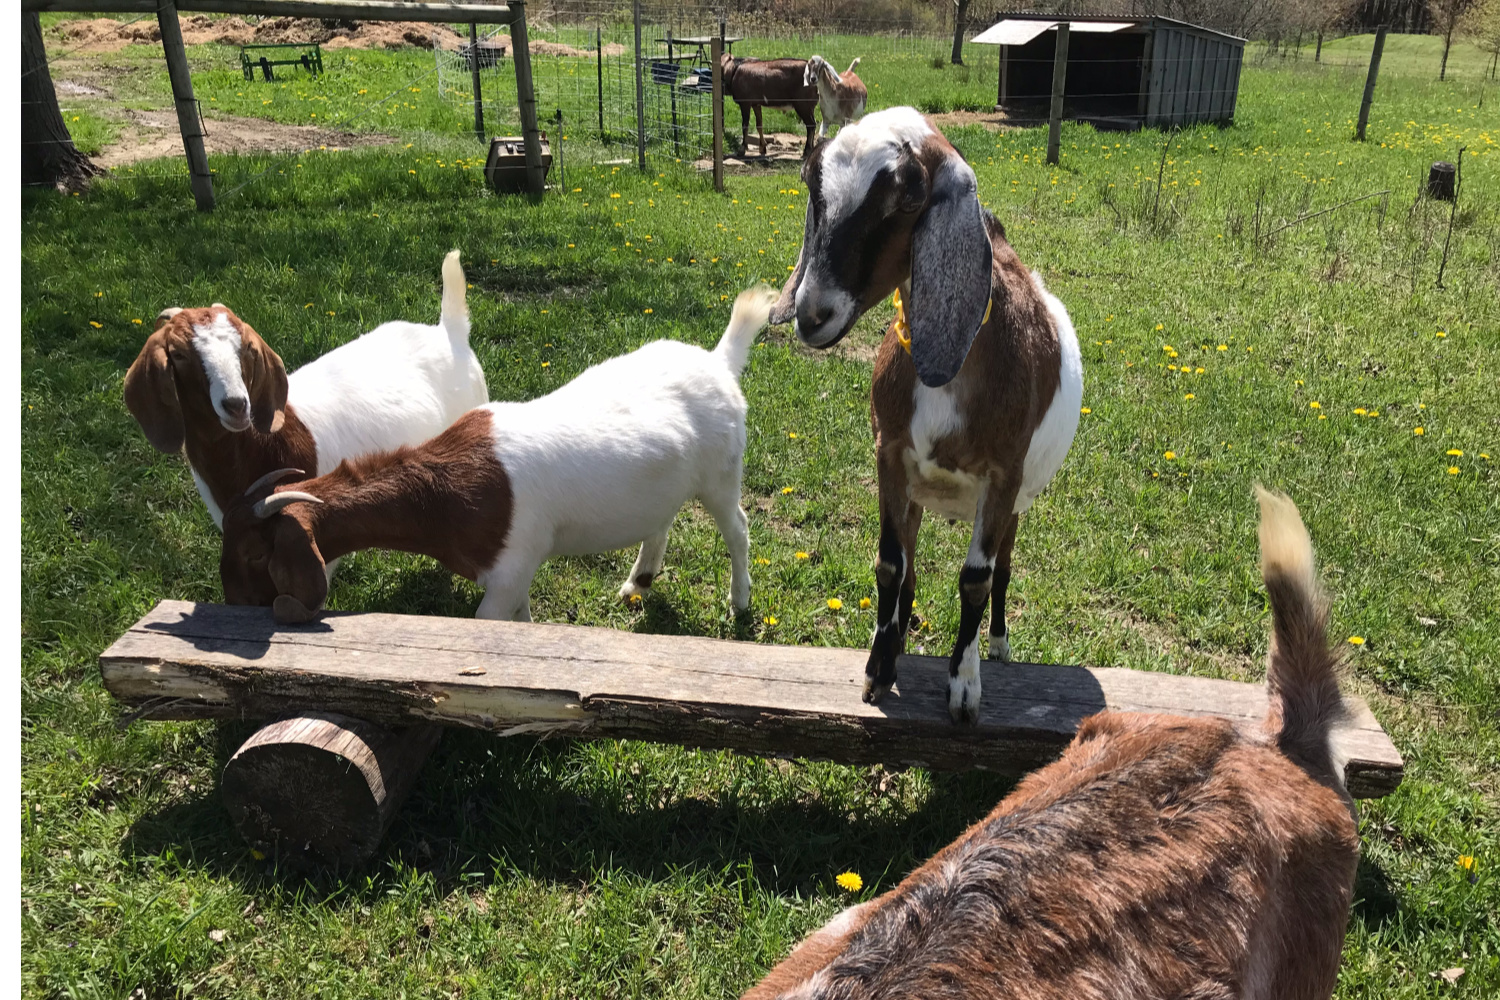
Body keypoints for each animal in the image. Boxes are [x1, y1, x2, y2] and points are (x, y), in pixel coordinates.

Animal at [222, 284, 780, 620]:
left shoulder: (509, 570)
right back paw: (637, 584)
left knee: (737, 529)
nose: (234, 607)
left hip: (722, 474)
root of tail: (719, 362)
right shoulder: (517, 570)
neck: (444, 491)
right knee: (660, 521)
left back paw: (740, 602)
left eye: (257, 553)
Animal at [774, 105, 1080, 722]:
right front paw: (877, 667)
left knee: (1003, 566)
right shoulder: (890, 454)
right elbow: (891, 565)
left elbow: (976, 579)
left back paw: (998, 644)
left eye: (909, 196)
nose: (811, 314)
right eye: (813, 184)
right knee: (912, 568)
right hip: (919, 490)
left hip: (1018, 501)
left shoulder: (1003, 477)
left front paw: (964, 685)